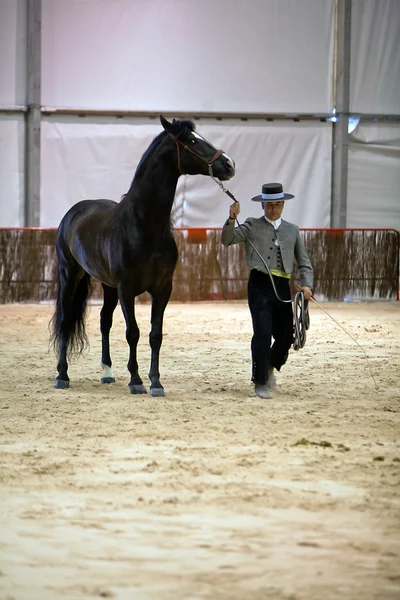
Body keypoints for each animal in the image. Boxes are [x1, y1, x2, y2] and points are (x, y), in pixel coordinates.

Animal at [51, 116, 236, 398]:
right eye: (191, 141)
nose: (228, 164)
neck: (144, 225)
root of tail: (74, 212)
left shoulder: (162, 288)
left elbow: (155, 335)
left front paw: (156, 382)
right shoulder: (127, 288)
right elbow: (133, 333)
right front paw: (136, 380)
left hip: (108, 286)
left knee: (104, 320)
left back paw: (107, 373)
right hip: (70, 275)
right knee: (65, 319)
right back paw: (62, 375)